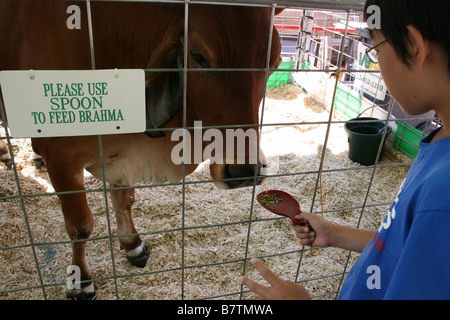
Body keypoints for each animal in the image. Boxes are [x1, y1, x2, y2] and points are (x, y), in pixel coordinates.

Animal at [0, 0, 282, 300]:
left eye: (274, 63)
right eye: (198, 56)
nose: (244, 171)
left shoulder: (123, 154)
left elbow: (124, 201)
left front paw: (132, 245)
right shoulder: (63, 158)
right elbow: (80, 226)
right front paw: (81, 280)